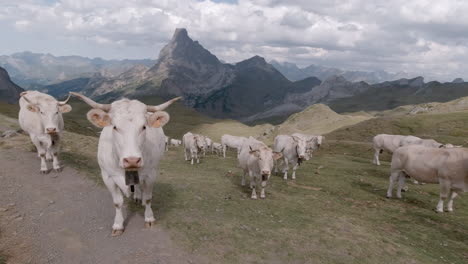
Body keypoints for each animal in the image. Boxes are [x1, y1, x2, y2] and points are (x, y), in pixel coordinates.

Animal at [70, 92, 181, 236]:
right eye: (115, 127)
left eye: (144, 127)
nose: (132, 160)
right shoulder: (107, 176)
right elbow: (117, 203)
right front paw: (118, 225)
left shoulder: (151, 174)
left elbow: (149, 198)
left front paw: (149, 218)